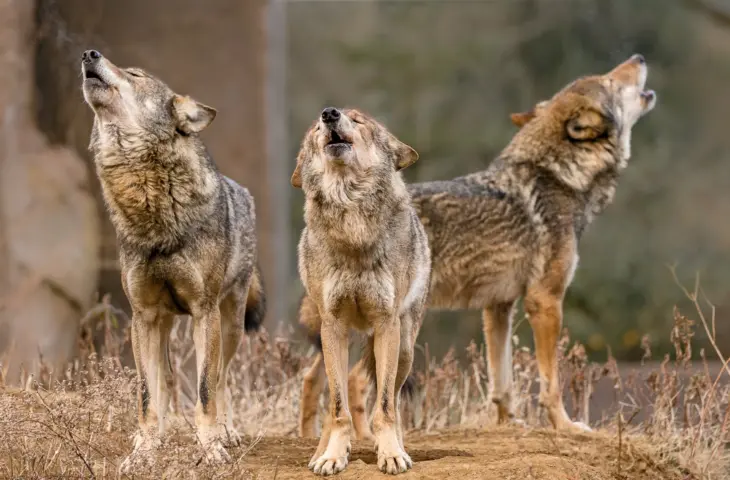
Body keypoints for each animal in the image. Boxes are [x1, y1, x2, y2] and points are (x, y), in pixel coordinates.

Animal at [80, 50, 266, 469]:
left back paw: (227, 432)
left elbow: (206, 388)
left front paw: (211, 446)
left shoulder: (203, 312)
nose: (89, 54)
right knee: (164, 380)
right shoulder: (143, 315)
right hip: (162, 324)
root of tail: (243, 192)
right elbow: (147, 395)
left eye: (135, 74)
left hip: (230, 324)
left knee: (222, 376)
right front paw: (144, 451)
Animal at [292, 107, 431, 475]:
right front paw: (332, 456)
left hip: (404, 348)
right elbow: (338, 409)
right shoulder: (333, 327)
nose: (329, 113)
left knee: (391, 398)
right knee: (328, 397)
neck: (352, 224)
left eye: (358, 120)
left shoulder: (386, 325)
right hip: (335, 342)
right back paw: (321, 452)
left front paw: (391, 454)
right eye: (315, 128)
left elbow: (384, 407)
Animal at [298, 54, 657, 435]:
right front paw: (565, 426)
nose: (639, 58)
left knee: (313, 381)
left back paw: (310, 439)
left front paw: (508, 424)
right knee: (354, 382)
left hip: (345, 327)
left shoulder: (498, 307)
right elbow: (550, 382)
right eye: (609, 82)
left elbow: (502, 381)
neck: (558, 176)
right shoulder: (545, 301)